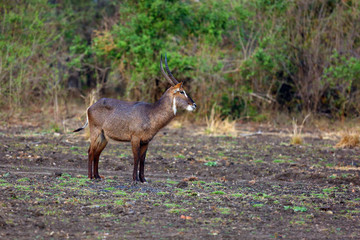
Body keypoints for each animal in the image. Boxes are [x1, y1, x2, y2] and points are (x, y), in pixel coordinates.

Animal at [73, 54, 197, 182]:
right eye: (182, 91)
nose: (194, 105)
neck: (151, 112)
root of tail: (90, 107)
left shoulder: (146, 141)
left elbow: (143, 159)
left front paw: (143, 179)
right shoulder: (135, 138)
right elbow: (136, 157)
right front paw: (135, 179)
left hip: (104, 137)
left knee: (97, 153)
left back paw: (97, 176)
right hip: (96, 132)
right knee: (90, 151)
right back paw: (90, 177)